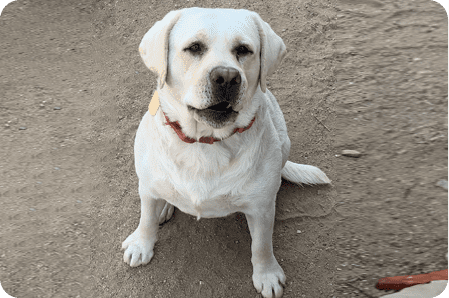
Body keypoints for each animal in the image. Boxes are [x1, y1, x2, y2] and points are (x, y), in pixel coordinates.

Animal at [121, 7, 328, 298]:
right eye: (194, 47)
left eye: (243, 50)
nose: (227, 77)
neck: (205, 142)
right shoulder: (148, 188)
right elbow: (146, 218)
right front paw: (142, 243)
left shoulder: (261, 209)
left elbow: (261, 246)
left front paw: (267, 274)